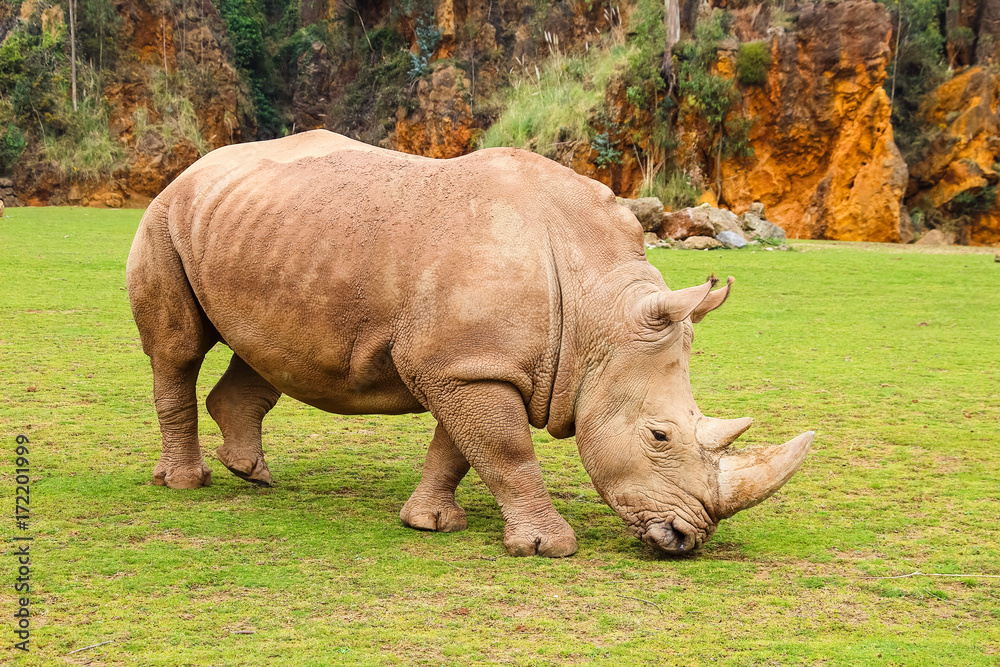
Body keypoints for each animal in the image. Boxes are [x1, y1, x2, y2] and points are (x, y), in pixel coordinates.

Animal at [126, 130, 813, 557]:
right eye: (660, 436)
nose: (686, 540)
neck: (598, 310)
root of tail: (192, 167)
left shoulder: (467, 363)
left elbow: (459, 448)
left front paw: (430, 523)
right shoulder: (468, 368)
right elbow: (506, 450)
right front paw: (548, 547)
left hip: (260, 230)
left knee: (265, 350)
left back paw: (251, 473)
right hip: (164, 217)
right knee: (178, 350)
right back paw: (186, 484)